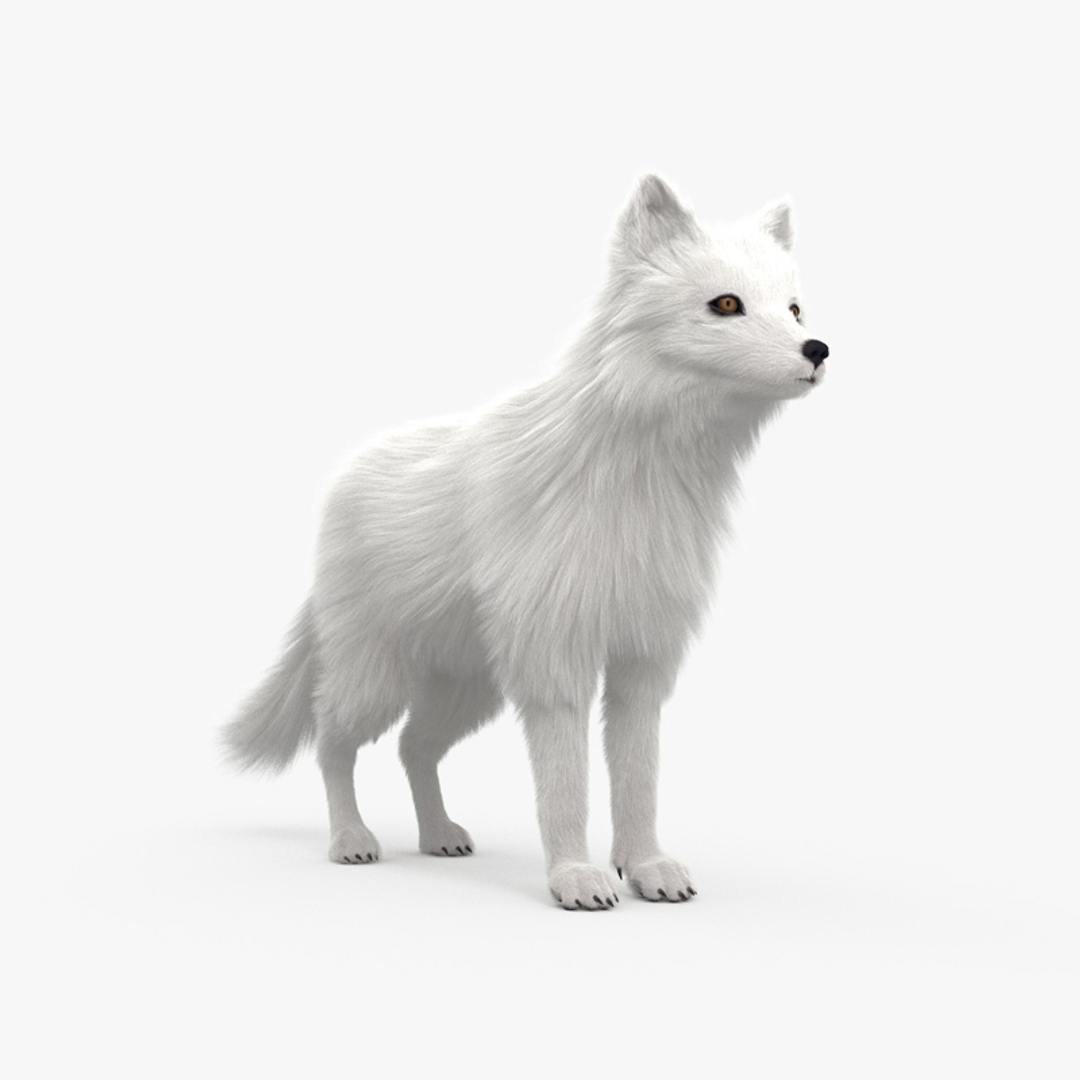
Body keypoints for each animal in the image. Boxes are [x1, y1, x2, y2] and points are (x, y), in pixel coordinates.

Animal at [223, 175, 828, 910]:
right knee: (333, 743)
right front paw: (575, 877)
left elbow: (638, 778)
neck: (638, 480)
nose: (818, 350)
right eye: (727, 304)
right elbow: (564, 786)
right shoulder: (555, 662)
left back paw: (438, 835)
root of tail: (347, 477)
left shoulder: (642, 659)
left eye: (794, 309)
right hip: (378, 677)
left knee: (413, 748)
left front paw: (645, 866)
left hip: (467, 684)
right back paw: (351, 839)